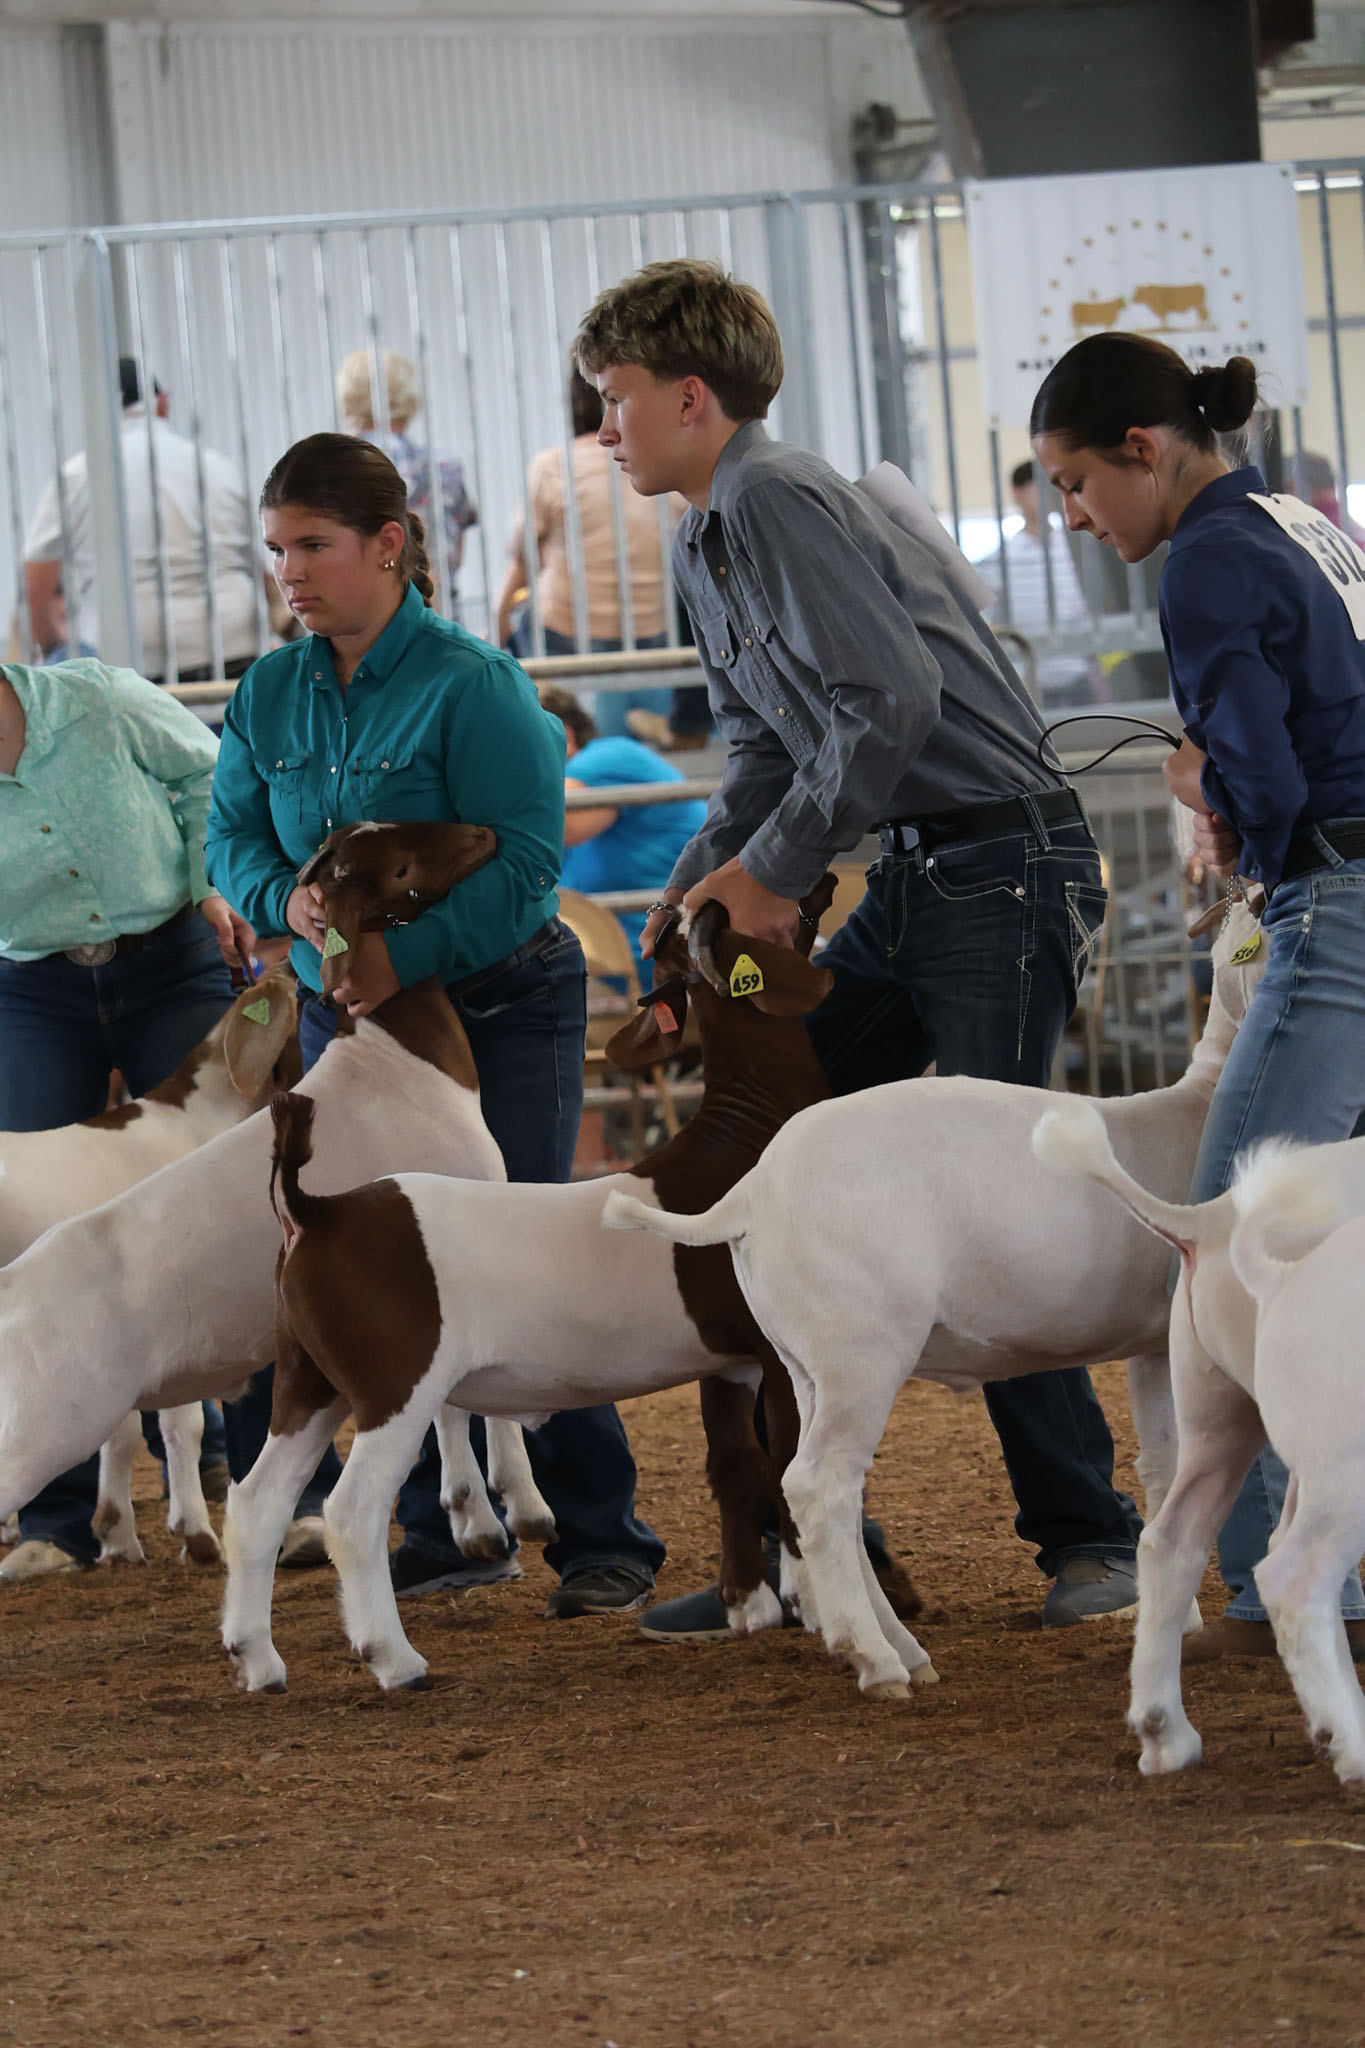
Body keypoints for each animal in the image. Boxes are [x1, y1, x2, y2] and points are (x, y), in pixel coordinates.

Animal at [0, 822, 552, 1601]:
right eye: (400, 864)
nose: (484, 832)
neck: (399, 1064)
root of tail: (15, 1286)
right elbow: (467, 1405)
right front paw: (508, 1508)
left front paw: (474, 1515)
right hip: (49, 1419)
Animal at [225, 894, 859, 1694]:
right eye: (724, 937)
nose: (706, 900)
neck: (743, 1139)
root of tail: (314, 1210)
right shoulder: (777, 1357)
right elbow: (781, 1469)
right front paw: (808, 1603)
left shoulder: (727, 1362)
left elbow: (735, 1468)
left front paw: (747, 1605)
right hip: (394, 1386)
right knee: (353, 1509)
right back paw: (395, 1659)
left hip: (308, 1381)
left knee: (257, 1502)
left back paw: (257, 1659)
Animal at [600, 899, 1266, 1698]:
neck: (1195, 1104)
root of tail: (750, 1193)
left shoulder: (1151, 1346)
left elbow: (1165, 1468)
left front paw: (1179, 1621)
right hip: (860, 1349)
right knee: (818, 1486)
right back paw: (876, 1660)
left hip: (804, 1362)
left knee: (820, 1489)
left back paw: (901, 1648)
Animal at [1031, 1099, 1365, 1784]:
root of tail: (1208, 1222)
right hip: (1342, 1448)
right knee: (1294, 1572)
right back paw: (1352, 1745)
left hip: (1224, 1415)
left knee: (1173, 1544)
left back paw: (1166, 1734)